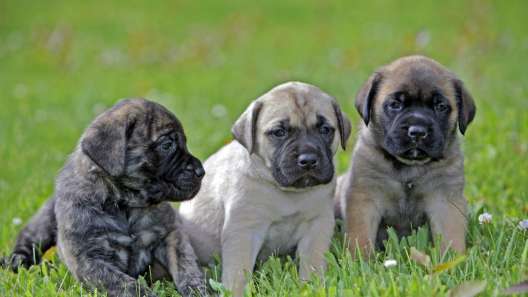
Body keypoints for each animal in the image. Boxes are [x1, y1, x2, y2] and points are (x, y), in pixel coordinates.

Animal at [2, 99, 208, 296]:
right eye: (167, 145)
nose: (201, 171)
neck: (124, 204)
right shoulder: (89, 260)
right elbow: (125, 284)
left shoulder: (171, 234)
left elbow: (186, 265)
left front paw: (197, 288)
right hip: (44, 221)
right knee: (28, 239)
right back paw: (16, 260)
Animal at [178, 81, 350, 296]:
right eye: (279, 132)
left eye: (325, 130)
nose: (309, 160)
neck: (288, 193)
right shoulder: (244, 231)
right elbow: (238, 272)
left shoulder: (317, 226)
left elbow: (313, 262)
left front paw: (312, 287)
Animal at [336, 55, 476, 256]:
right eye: (395, 104)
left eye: (440, 106)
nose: (417, 131)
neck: (409, 168)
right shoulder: (364, 198)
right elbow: (360, 237)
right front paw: (359, 260)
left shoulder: (445, 201)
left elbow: (451, 236)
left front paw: (453, 259)